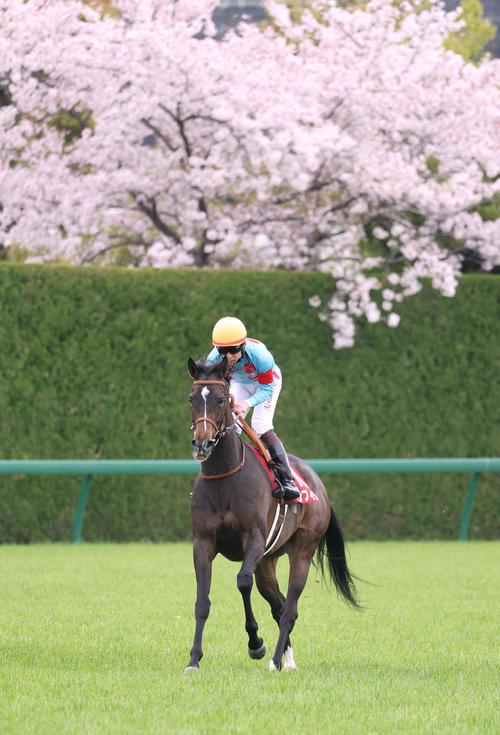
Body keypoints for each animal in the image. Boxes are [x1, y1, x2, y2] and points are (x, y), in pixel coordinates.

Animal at [185, 355, 360, 672]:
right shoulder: (203, 543)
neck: (224, 477)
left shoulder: (253, 539)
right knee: (278, 604)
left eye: (221, 400)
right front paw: (194, 659)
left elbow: (242, 582)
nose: (202, 444)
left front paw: (256, 644)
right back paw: (286, 660)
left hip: (302, 550)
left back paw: (277, 659)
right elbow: (202, 601)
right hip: (267, 562)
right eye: (192, 398)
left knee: (289, 608)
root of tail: (318, 483)